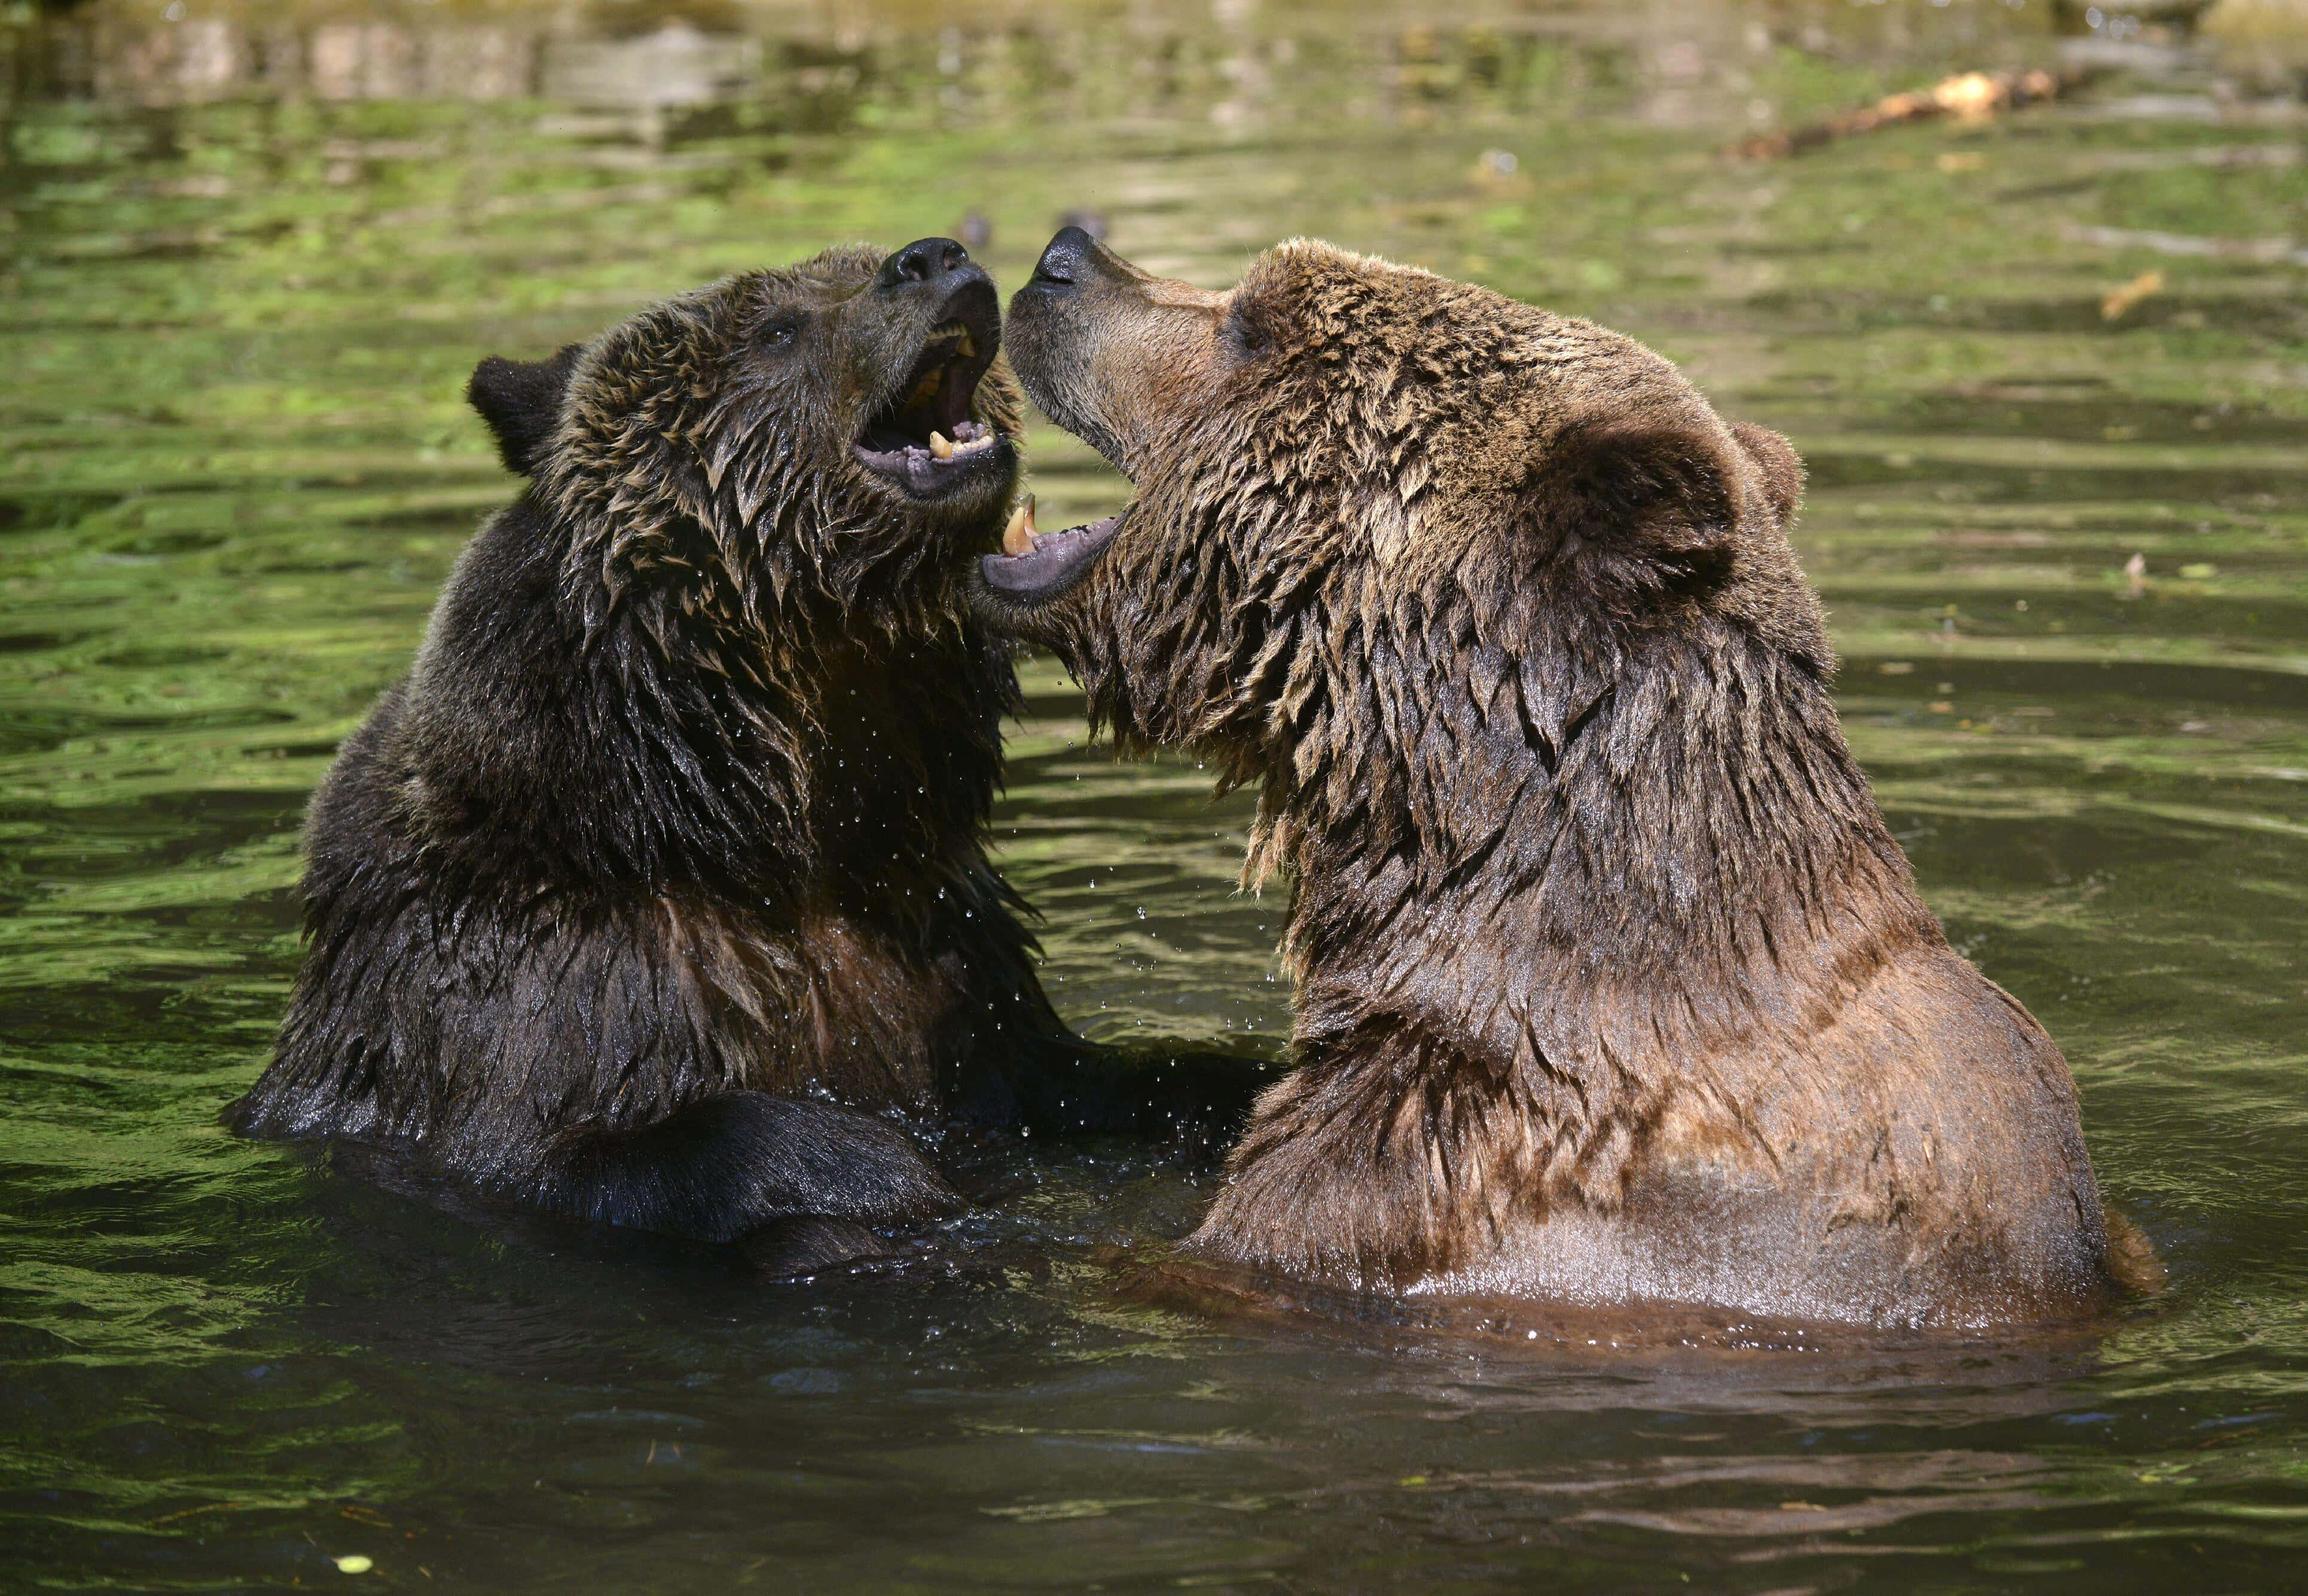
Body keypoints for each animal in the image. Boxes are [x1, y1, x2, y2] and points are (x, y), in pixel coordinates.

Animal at [230, 237, 1260, 1258]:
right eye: (777, 329)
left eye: (852, 265)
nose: (935, 255)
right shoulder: (534, 983)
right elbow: (578, 1148)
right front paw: (875, 1168)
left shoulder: (950, 955)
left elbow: (1080, 1078)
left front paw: (1228, 1089)